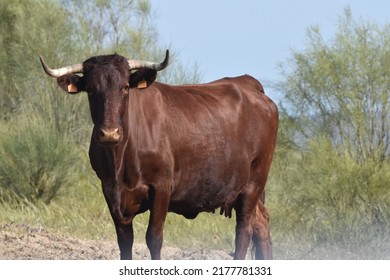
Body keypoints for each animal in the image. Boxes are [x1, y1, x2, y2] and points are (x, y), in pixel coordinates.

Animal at [38, 50, 278, 260]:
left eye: (125, 87)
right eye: (90, 89)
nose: (109, 133)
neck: (121, 162)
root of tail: (246, 83)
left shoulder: (162, 187)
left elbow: (154, 238)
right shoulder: (110, 191)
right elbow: (124, 242)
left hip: (254, 182)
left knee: (244, 231)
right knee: (261, 223)